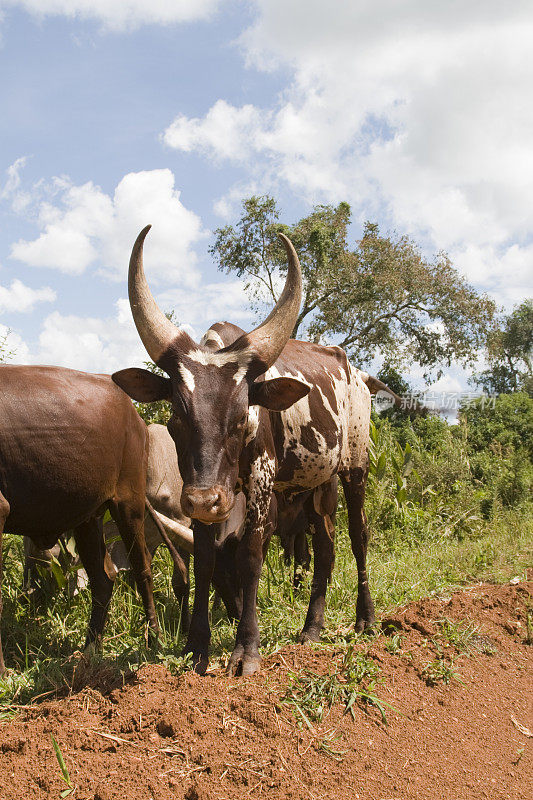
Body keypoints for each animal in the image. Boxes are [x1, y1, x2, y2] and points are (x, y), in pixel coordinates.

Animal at [0, 368, 158, 676]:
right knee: (103, 579)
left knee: (142, 567)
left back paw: (153, 642)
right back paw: (89, 652)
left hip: (129, 499)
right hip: (88, 517)